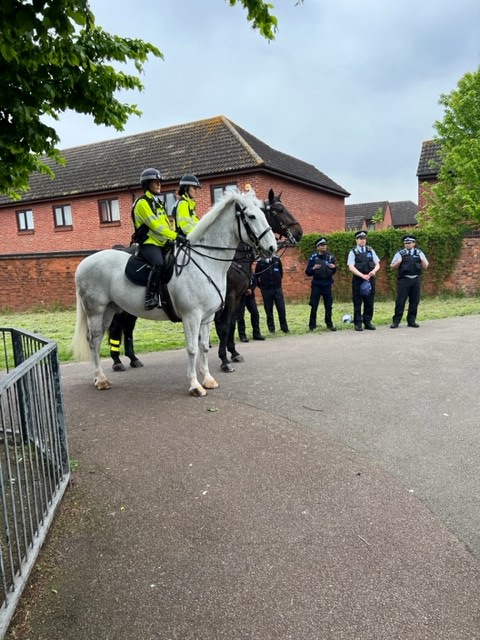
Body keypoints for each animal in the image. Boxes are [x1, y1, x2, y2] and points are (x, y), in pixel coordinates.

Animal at [71, 188, 277, 396]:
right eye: (251, 216)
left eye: (264, 214)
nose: (272, 248)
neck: (205, 262)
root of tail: (84, 262)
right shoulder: (191, 316)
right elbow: (192, 349)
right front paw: (195, 385)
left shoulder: (207, 317)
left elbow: (204, 347)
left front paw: (208, 379)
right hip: (96, 311)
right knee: (93, 340)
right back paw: (101, 379)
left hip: (110, 310)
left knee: (99, 339)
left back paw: (102, 376)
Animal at [107, 190, 303, 372]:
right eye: (278, 210)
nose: (299, 232)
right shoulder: (228, 298)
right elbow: (224, 327)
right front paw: (224, 359)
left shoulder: (236, 298)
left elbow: (231, 325)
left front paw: (233, 353)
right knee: (116, 327)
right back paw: (117, 361)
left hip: (129, 308)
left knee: (128, 328)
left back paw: (133, 358)